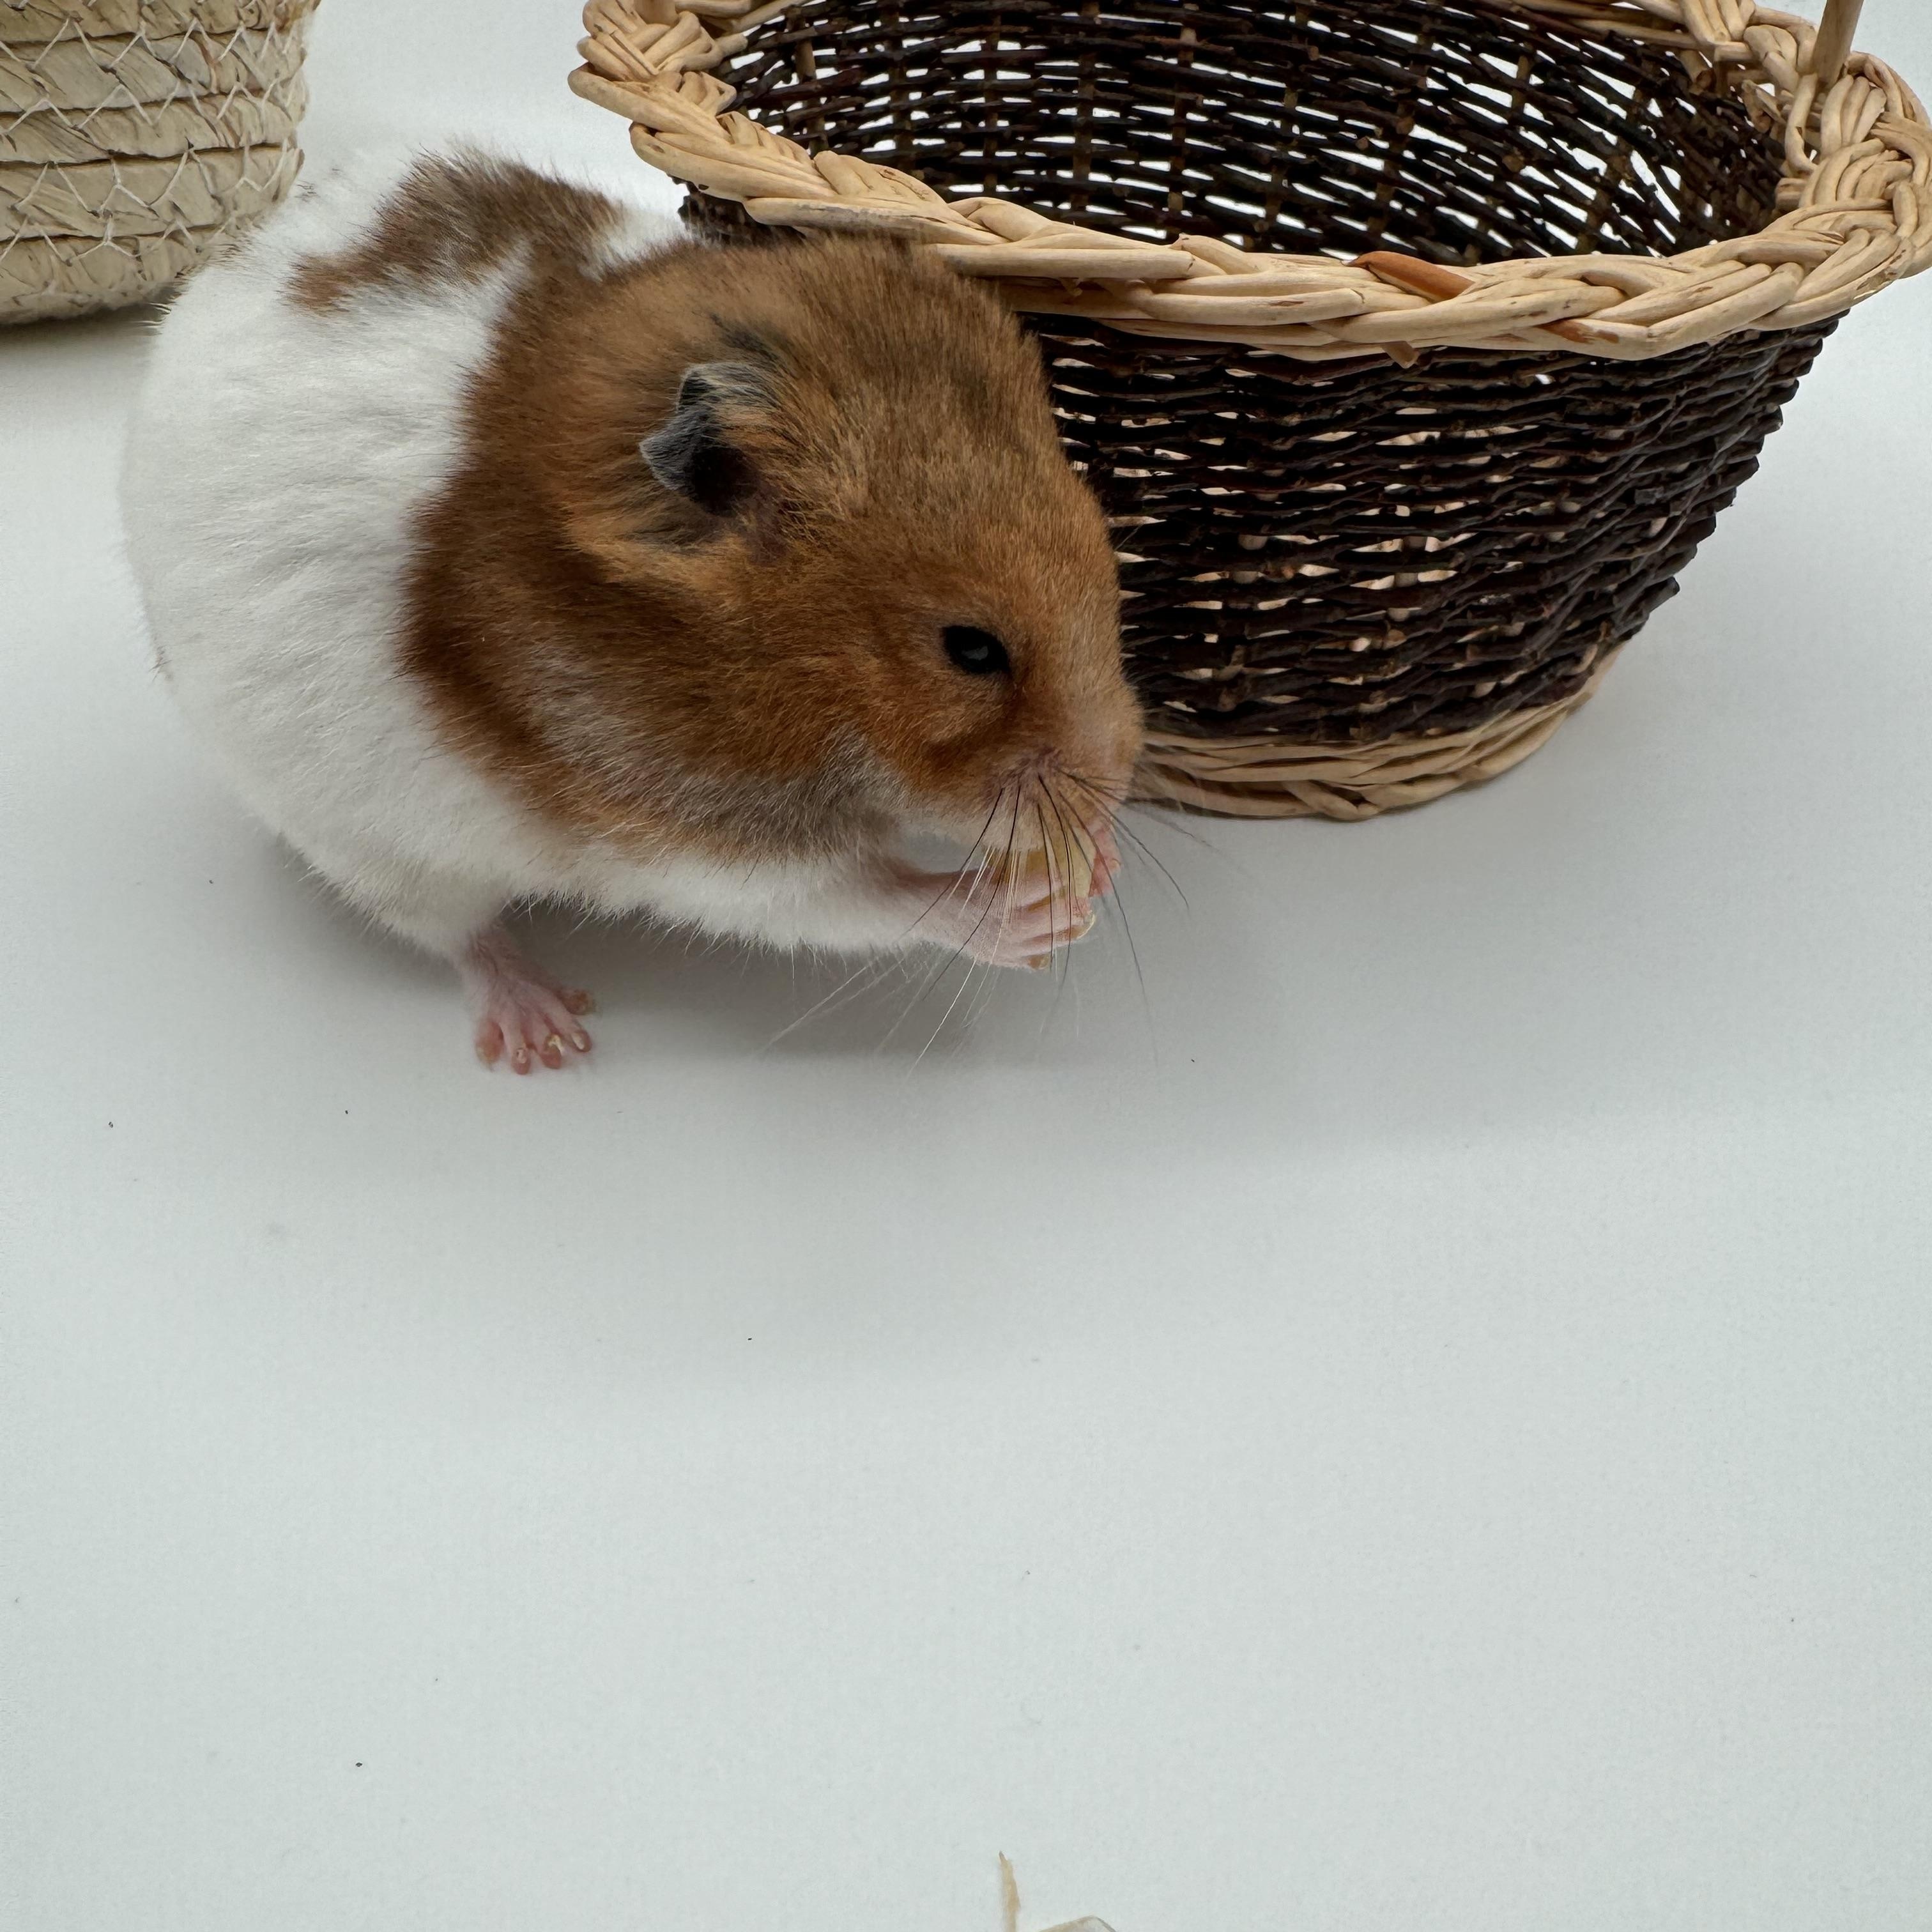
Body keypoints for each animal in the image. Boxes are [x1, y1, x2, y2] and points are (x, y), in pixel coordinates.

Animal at [120, 147, 1142, 1071]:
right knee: (460, 938)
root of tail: (203, 300)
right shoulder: (689, 839)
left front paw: (1096, 858)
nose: (1115, 783)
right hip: (375, 849)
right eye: (970, 649)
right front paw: (1044, 912)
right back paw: (546, 1038)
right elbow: (863, 900)